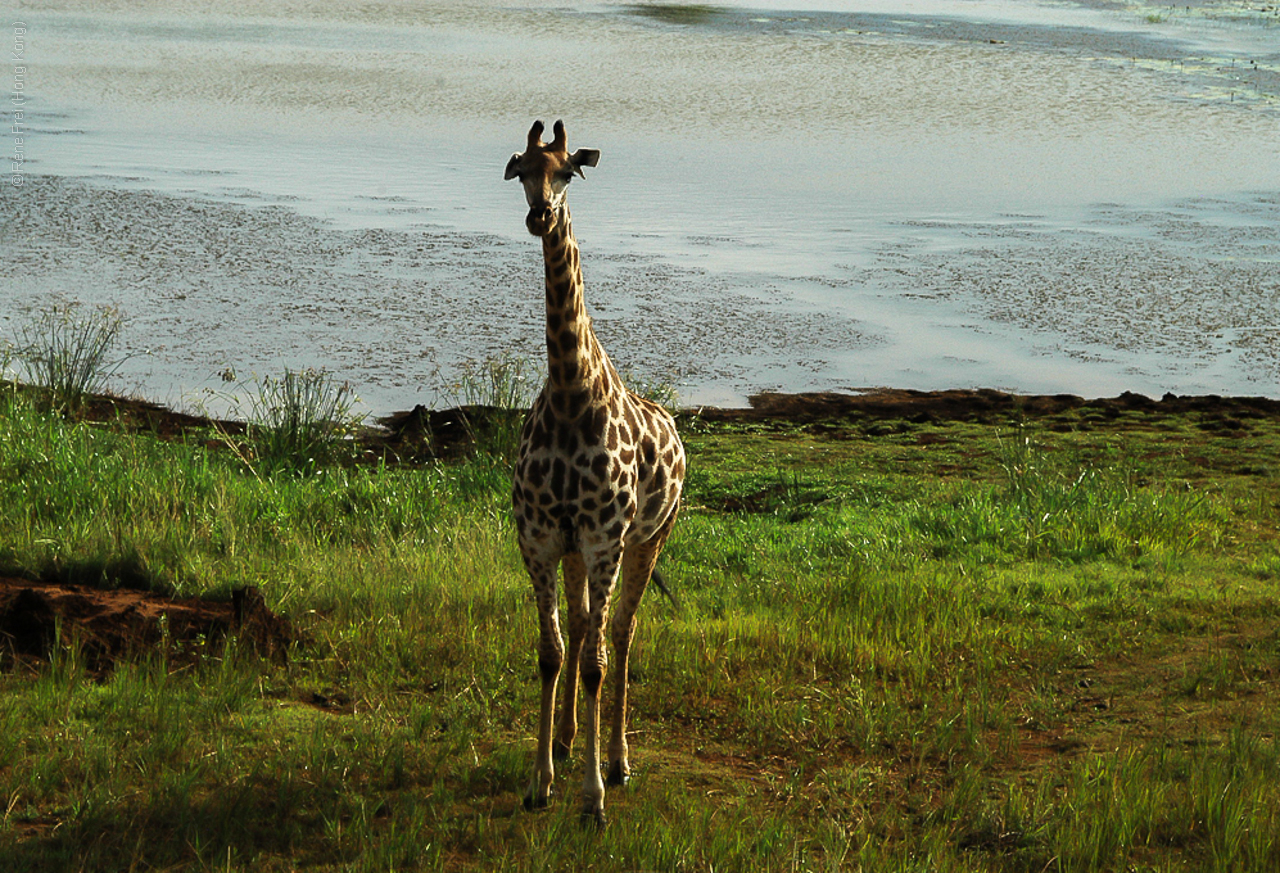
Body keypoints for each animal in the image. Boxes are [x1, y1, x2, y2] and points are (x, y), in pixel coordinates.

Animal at [504, 120, 691, 824]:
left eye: (567, 172)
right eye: (522, 169)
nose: (540, 215)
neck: (568, 394)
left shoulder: (605, 539)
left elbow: (594, 663)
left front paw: (592, 797)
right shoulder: (541, 538)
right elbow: (550, 652)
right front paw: (541, 778)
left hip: (649, 538)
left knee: (622, 636)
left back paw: (617, 760)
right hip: (581, 550)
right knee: (587, 630)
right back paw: (566, 740)